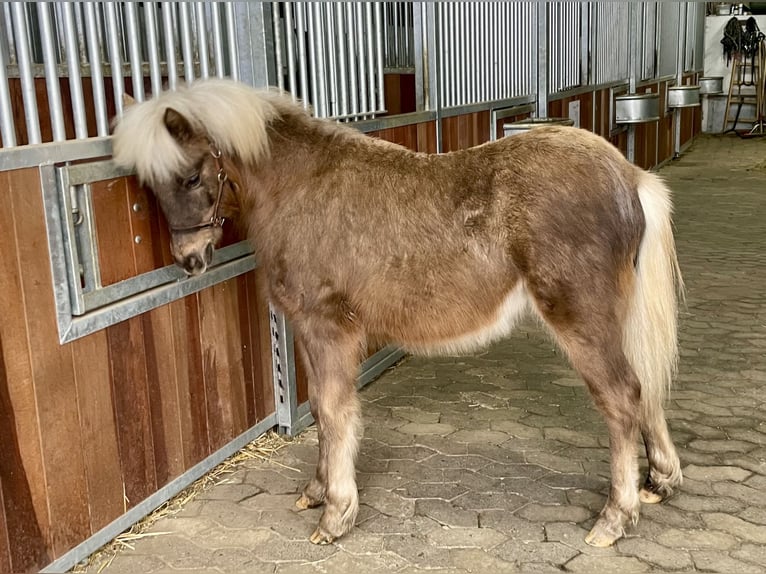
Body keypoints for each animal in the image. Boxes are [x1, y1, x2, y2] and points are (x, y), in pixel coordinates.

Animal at [112, 79, 684, 552]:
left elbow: (335, 412)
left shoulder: (326, 327)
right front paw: (316, 491)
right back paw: (659, 481)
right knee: (645, 386)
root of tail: (629, 175)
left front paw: (336, 513)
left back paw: (614, 518)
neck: (300, 186)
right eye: (150, 186)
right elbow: (319, 409)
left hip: (581, 321)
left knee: (622, 397)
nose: (190, 260)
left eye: (191, 177)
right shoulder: (307, 331)